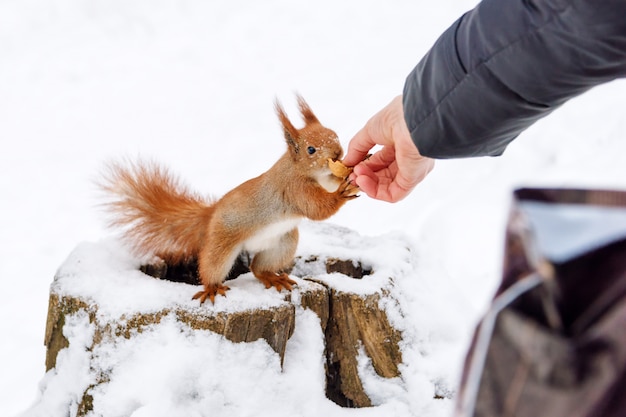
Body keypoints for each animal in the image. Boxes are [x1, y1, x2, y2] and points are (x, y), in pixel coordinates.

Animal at [100, 96, 358, 302]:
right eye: (311, 150)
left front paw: (350, 175)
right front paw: (341, 192)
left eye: (334, 134)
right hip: (222, 244)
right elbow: (317, 209)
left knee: (257, 267)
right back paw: (211, 289)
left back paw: (272, 277)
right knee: (212, 267)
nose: (338, 153)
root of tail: (210, 214)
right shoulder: (294, 189)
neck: (304, 171)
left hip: (283, 243)